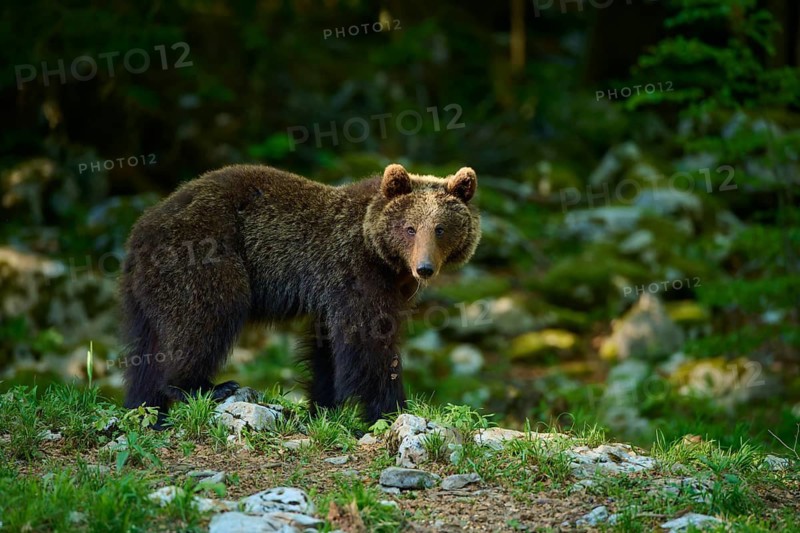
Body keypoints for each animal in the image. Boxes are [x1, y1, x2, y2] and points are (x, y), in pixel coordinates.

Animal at [119, 163, 480, 424]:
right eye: (410, 228)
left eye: (440, 229)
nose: (424, 268)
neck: (384, 258)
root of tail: (142, 228)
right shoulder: (355, 272)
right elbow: (368, 341)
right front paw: (388, 408)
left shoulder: (353, 290)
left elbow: (327, 348)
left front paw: (322, 405)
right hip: (204, 253)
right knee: (209, 312)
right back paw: (204, 385)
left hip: (145, 293)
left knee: (147, 349)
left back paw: (145, 408)